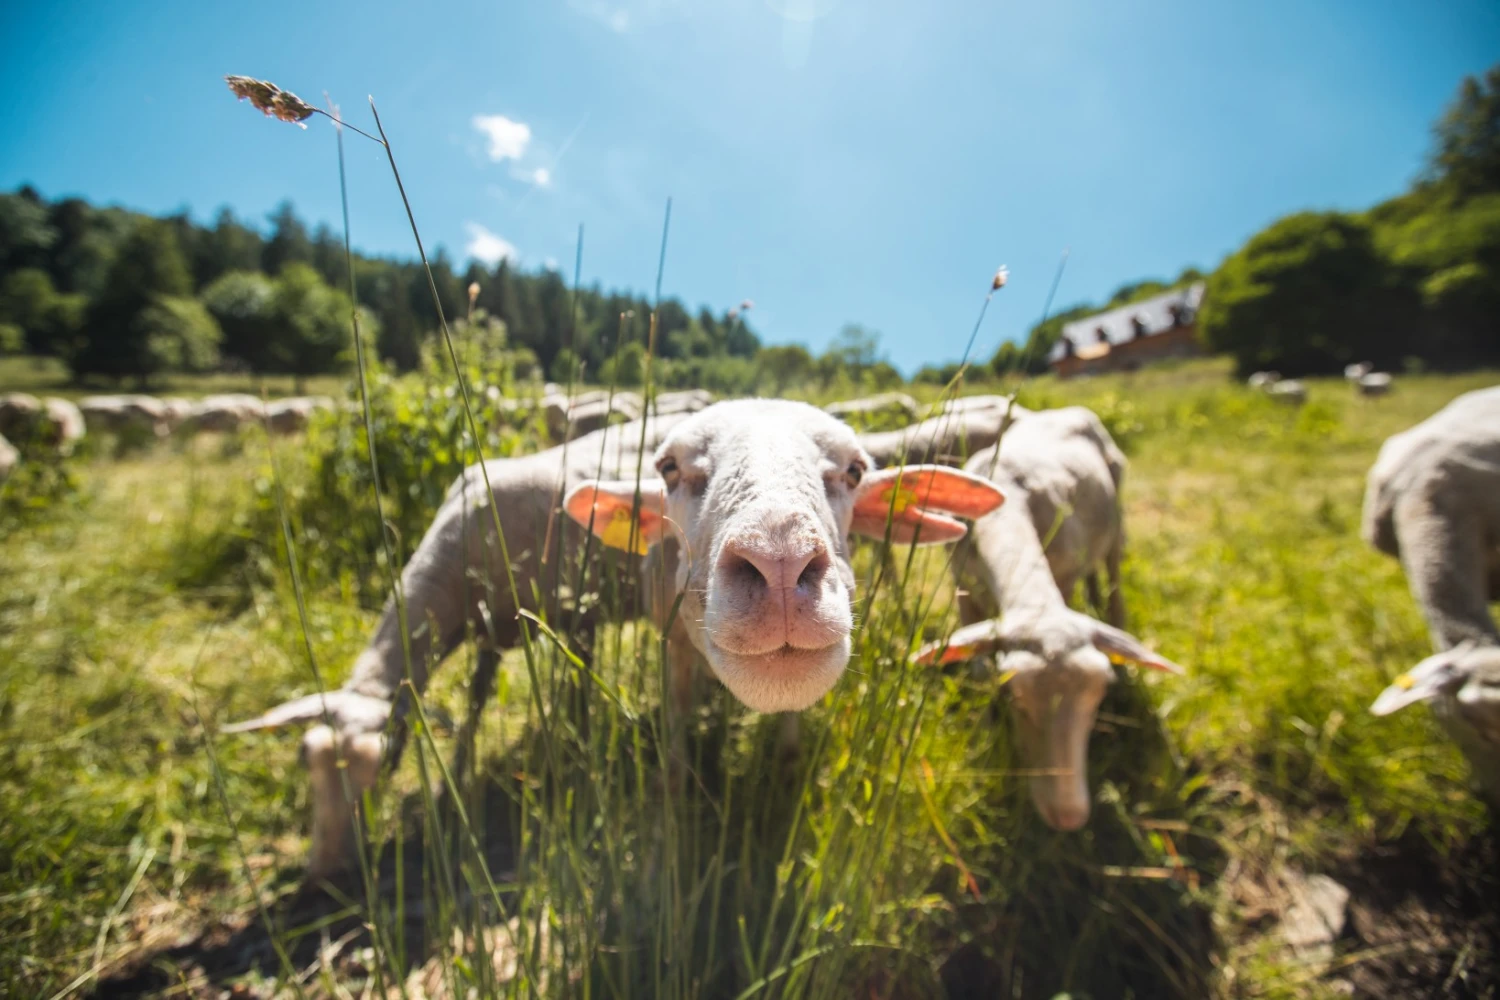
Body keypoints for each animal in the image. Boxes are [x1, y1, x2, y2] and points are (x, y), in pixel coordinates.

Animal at [228, 401, 1002, 875]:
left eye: (854, 471)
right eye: (305, 771)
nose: (327, 871)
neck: (453, 559)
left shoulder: (573, 619)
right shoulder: (499, 629)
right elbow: (476, 702)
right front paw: (463, 767)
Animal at [912, 404, 1182, 827]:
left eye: (1099, 694)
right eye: (1015, 697)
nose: (1067, 816)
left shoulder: (1064, 579)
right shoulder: (962, 587)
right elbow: (978, 670)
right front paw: (986, 731)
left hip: (1116, 524)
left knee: (1113, 587)